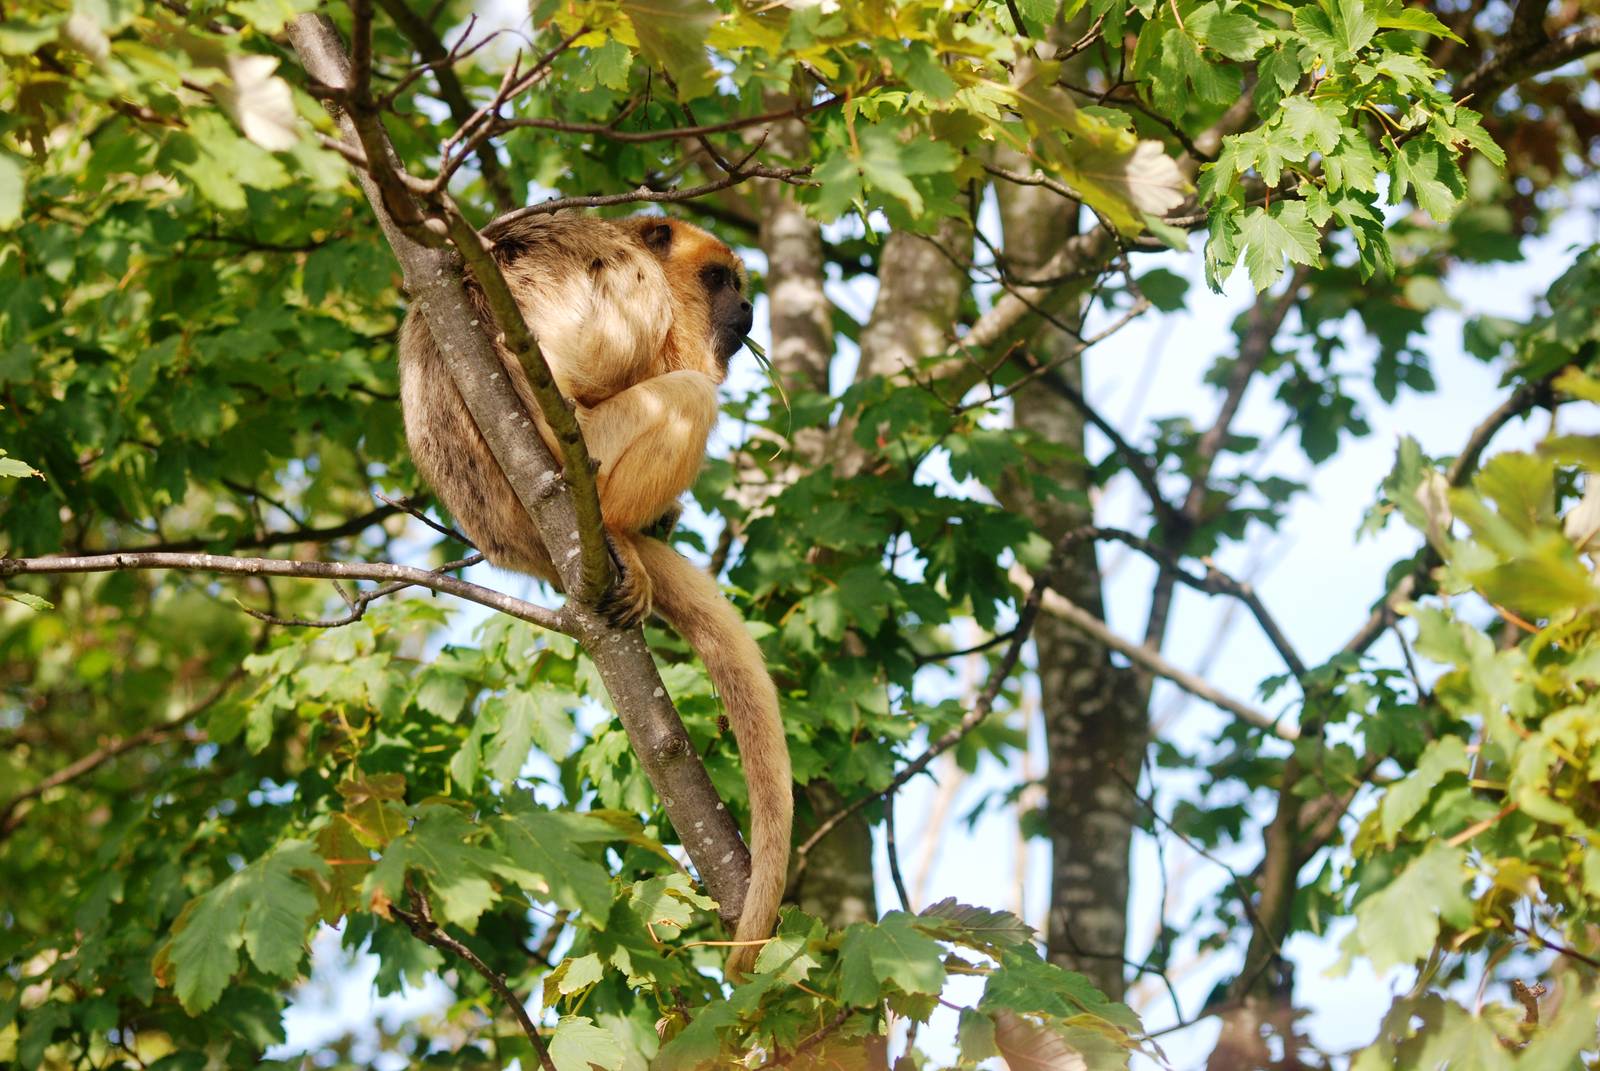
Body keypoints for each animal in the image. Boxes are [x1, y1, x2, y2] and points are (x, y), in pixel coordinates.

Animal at [397, 213, 791, 978]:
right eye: (719, 279)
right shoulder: (635, 290)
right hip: (594, 460)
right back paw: (619, 534)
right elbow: (552, 366)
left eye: (740, 284)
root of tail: (521, 543)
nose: (748, 311)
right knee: (682, 395)